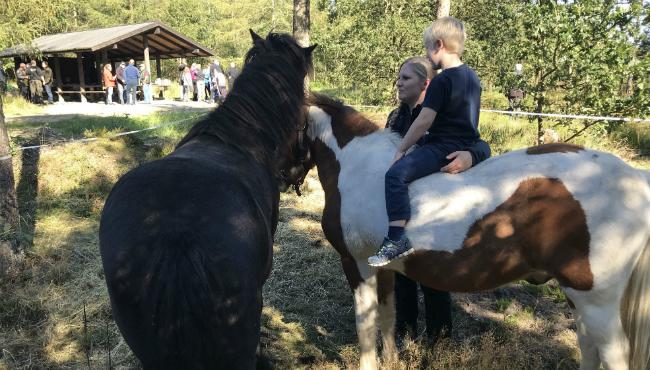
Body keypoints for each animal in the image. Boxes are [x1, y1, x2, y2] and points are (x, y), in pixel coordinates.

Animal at [280, 94, 648, 370]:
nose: (282, 181)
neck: (355, 165)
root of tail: (634, 178)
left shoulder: (356, 264)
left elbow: (366, 325)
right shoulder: (381, 269)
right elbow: (388, 316)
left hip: (597, 301)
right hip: (578, 295)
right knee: (588, 346)